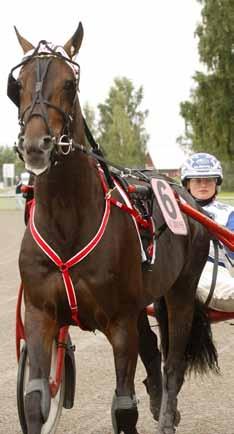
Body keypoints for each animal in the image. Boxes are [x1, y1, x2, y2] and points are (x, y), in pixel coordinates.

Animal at [7, 23, 219, 434]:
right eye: (17, 84)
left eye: (70, 82)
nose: (36, 145)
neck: (67, 222)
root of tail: (180, 191)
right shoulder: (40, 313)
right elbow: (36, 399)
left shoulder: (120, 324)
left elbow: (124, 407)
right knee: (152, 351)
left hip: (181, 293)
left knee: (173, 364)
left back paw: (167, 415)